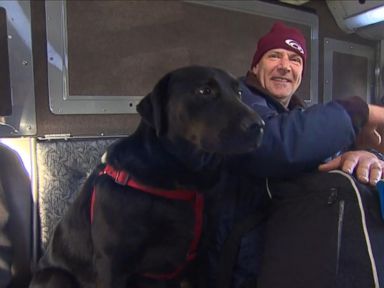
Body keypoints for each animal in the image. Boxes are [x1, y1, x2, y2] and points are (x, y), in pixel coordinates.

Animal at [29, 66, 264, 288]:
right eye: (204, 91)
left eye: (239, 92)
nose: (259, 126)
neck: (181, 180)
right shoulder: (111, 264)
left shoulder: (200, 260)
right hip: (56, 277)